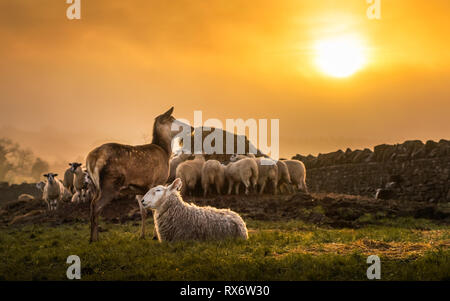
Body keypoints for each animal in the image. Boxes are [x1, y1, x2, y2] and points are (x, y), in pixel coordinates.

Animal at [86, 108, 190, 241]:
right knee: (96, 206)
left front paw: (142, 235)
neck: (165, 152)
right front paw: (156, 236)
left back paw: (93, 237)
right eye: (173, 119)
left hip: (94, 186)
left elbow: (143, 212)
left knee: (92, 205)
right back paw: (94, 239)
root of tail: (91, 159)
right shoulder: (157, 181)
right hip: (110, 183)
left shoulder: (139, 189)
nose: (191, 127)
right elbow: (154, 209)